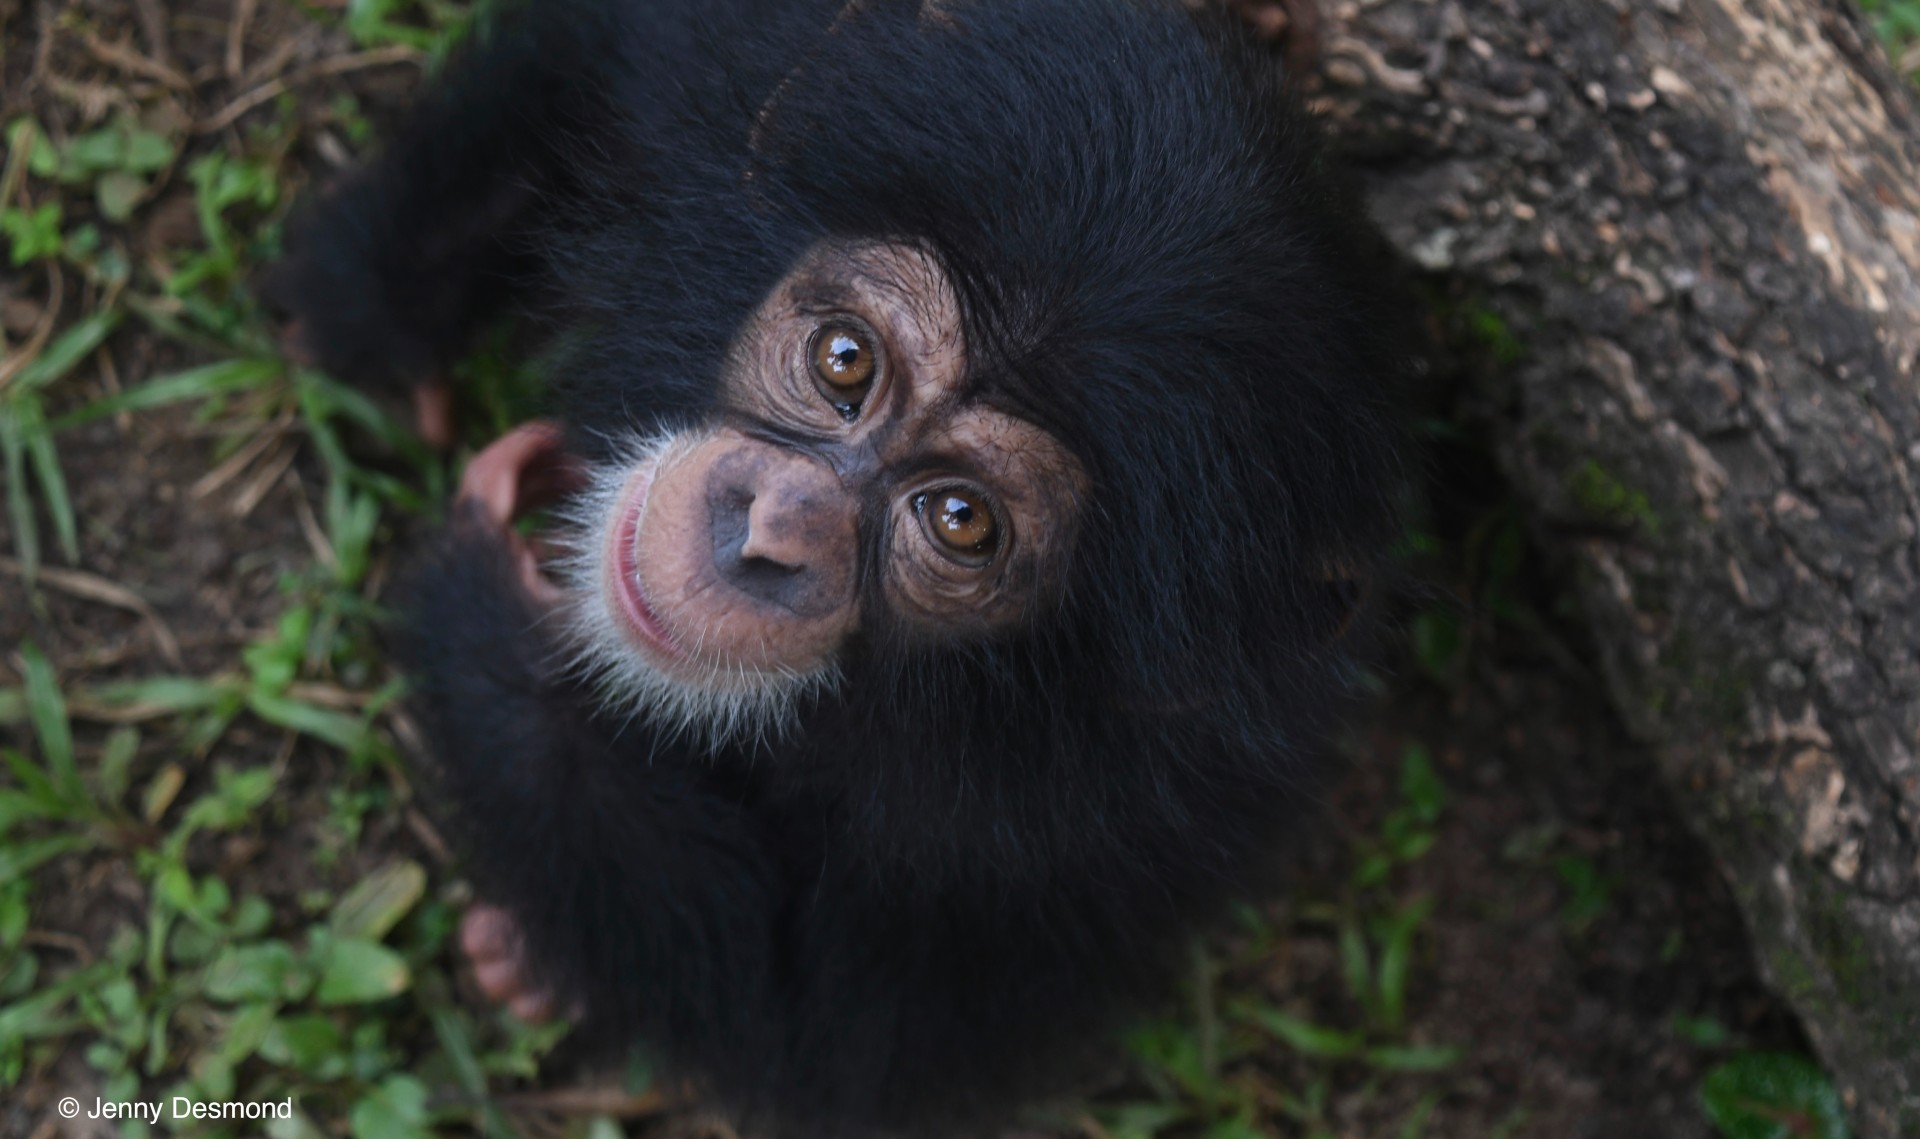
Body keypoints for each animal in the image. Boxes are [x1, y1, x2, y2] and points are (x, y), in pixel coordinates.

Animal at [263, 0, 1405, 1129]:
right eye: (845, 361)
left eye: (961, 520)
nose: (772, 527)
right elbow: (586, 59)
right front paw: (380, 319)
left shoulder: (1125, 816)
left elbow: (820, 1028)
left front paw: (496, 605)